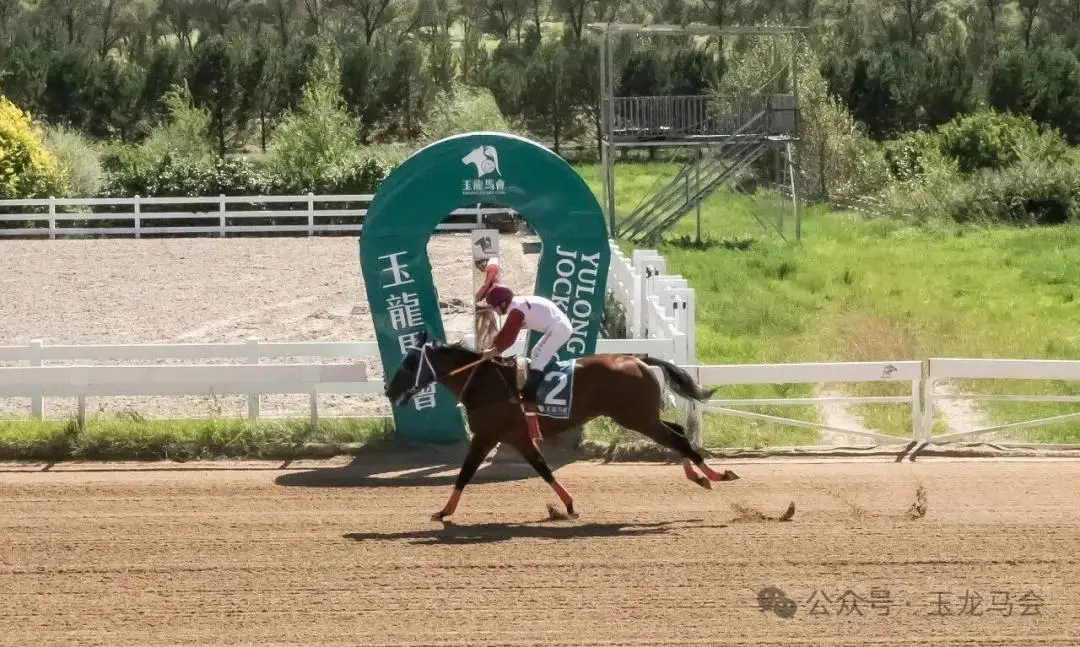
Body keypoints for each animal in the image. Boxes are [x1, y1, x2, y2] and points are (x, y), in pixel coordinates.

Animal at [382, 331, 739, 522]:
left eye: (410, 363)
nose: (389, 390)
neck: (484, 382)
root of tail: (640, 358)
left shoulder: (487, 434)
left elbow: (466, 472)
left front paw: (443, 512)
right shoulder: (516, 436)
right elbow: (542, 468)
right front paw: (567, 505)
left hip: (636, 418)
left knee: (679, 440)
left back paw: (716, 474)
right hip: (642, 416)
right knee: (678, 432)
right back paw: (701, 476)